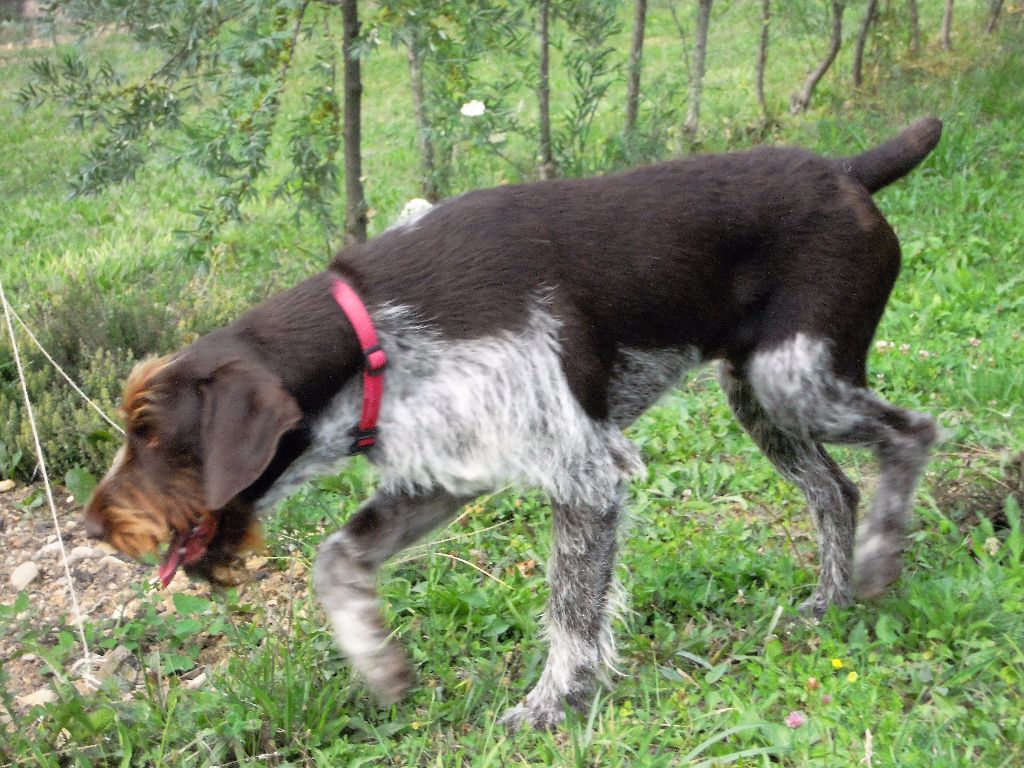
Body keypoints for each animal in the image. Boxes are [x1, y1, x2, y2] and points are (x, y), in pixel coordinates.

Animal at [83, 117, 937, 729]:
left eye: (151, 435)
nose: (93, 527)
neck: (374, 337)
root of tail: (848, 171)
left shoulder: (585, 474)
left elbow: (571, 610)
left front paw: (554, 704)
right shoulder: (445, 476)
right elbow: (334, 560)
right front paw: (379, 664)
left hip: (794, 379)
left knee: (911, 434)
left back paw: (880, 561)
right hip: (761, 393)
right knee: (834, 492)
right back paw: (831, 601)